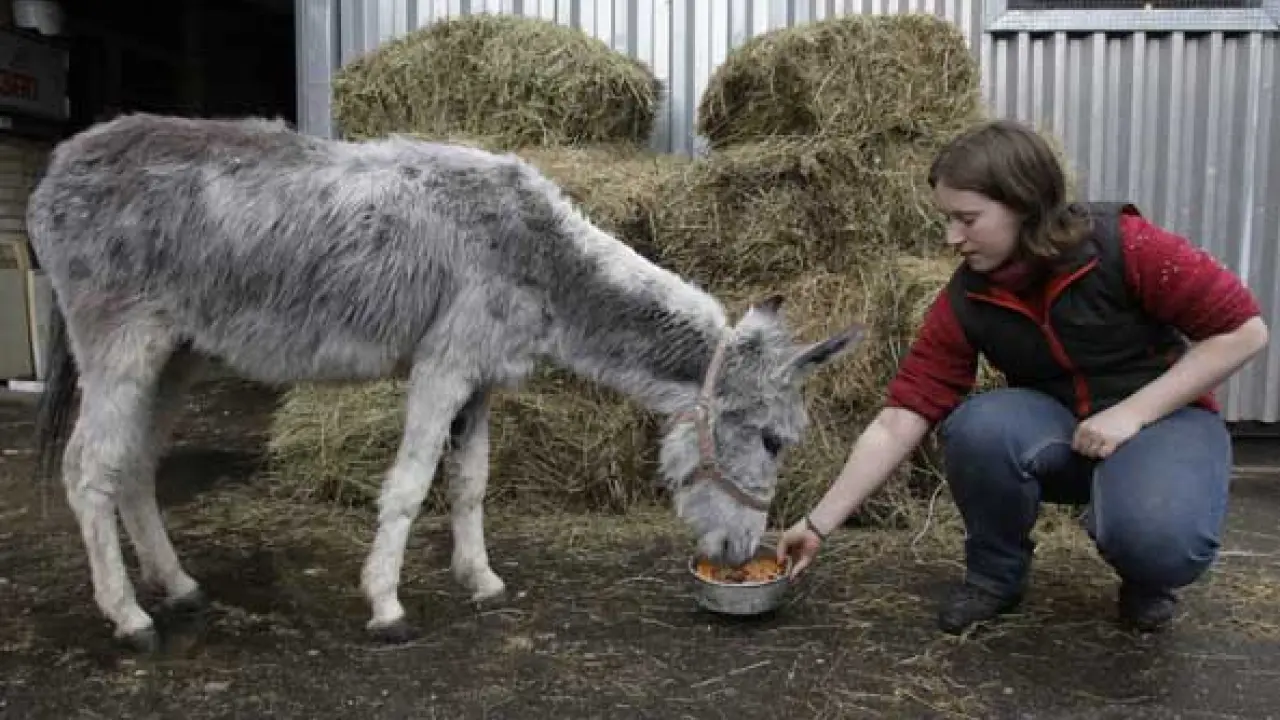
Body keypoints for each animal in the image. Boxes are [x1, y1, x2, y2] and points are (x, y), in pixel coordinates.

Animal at [27, 112, 865, 653]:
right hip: (121, 344)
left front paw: (482, 580)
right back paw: (130, 619)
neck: (538, 255)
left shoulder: (481, 381)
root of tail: (56, 167)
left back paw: (177, 588)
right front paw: (387, 605)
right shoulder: (443, 367)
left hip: (177, 354)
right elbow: (408, 485)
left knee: (135, 465)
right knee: (87, 471)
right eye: (772, 440)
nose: (741, 555)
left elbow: (470, 484)